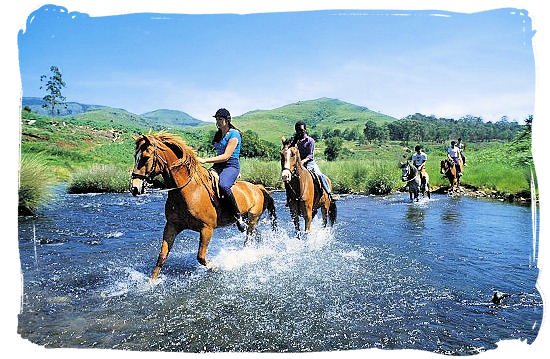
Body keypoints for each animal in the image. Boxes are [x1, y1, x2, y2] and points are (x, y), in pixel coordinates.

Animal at [129, 131, 276, 278]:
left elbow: (200, 257)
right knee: (256, 236)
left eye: (146, 158)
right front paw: (151, 281)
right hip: (248, 222)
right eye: (135, 157)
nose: (134, 188)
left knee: (248, 240)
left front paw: (216, 267)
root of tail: (257, 187)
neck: (189, 191)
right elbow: (162, 257)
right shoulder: (172, 225)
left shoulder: (207, 229)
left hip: (252, 219)